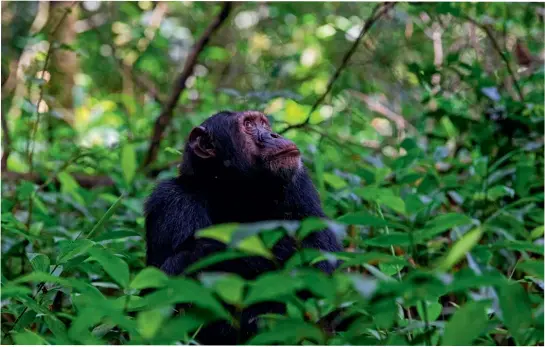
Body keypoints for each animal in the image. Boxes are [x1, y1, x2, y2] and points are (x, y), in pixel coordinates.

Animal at [144, 111, 340, 346]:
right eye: (248, 125)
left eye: (263, 124)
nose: (274, 134)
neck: (234, 192)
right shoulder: (170, 201)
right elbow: (165, 281)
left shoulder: (299, 182)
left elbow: (321, 248)